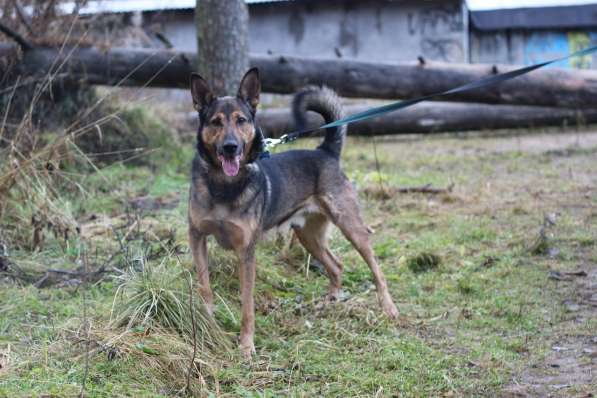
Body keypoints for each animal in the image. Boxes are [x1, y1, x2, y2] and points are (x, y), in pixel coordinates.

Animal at [189, 67, 398, 358]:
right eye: (215, 122)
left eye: (241, 120)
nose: (231, 147)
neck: (224, 185)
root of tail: (325, 151)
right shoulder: (197, 237)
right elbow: (204, 287)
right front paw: (207, 324)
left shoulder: (246, 252)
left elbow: (247, 304)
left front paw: (246, 345)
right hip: (308, 236)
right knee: (337, 265)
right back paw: (330, 302)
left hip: (350, 227)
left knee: (376, 268)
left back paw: (388, 307)